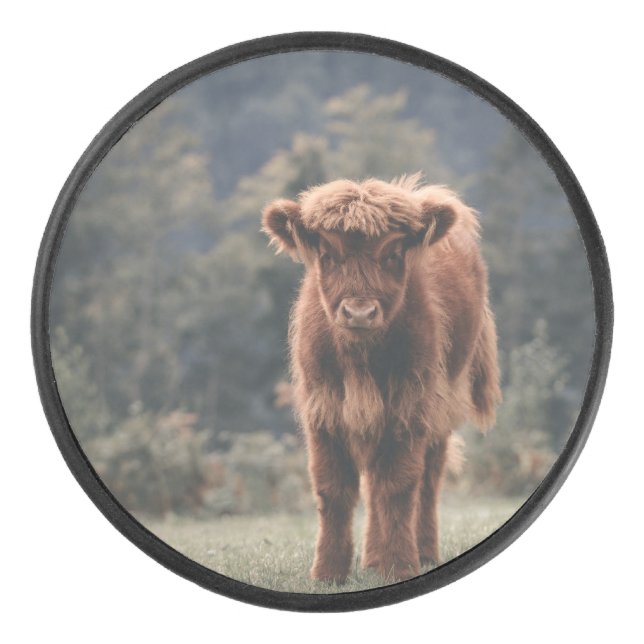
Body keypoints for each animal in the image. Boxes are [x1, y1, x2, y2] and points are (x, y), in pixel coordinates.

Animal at [262, 175, 501, 583]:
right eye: (328, 254)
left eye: (392, 254)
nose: (359, 312)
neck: (361, 359)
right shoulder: (323, 409)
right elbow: (333, 488)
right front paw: (328, 573)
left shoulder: (410, 405)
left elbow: (399, 486)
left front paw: (399, 565)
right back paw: (372, 559)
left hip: (442, 405)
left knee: (428, 479)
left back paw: (422, 552)